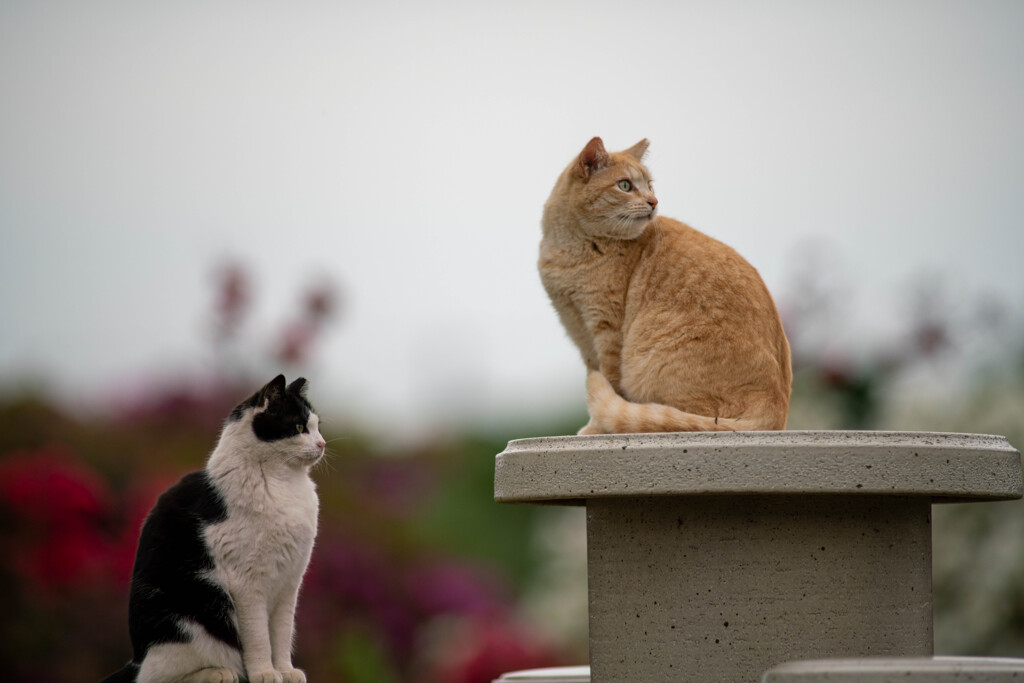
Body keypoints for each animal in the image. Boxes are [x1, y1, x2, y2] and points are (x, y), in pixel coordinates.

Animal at [101, 374, 325, 683]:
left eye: (317, 426)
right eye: (300, 427)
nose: (323, 444)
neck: (285, 482)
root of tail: (137, 657)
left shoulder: (289, 584)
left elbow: (281, 634)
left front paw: (285, 670)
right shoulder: (247, 584)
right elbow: (259, 638)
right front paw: (265, 672)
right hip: (189, 623)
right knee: (157, 677)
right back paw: (218, 673)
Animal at [544, 135, 790, 430]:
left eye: (649, 185)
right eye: (625, 185)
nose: (654, 201)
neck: (572, 249)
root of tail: (776, 409)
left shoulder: (607, 330)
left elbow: (610, 385)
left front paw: (595, 428)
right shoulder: (579, 332)